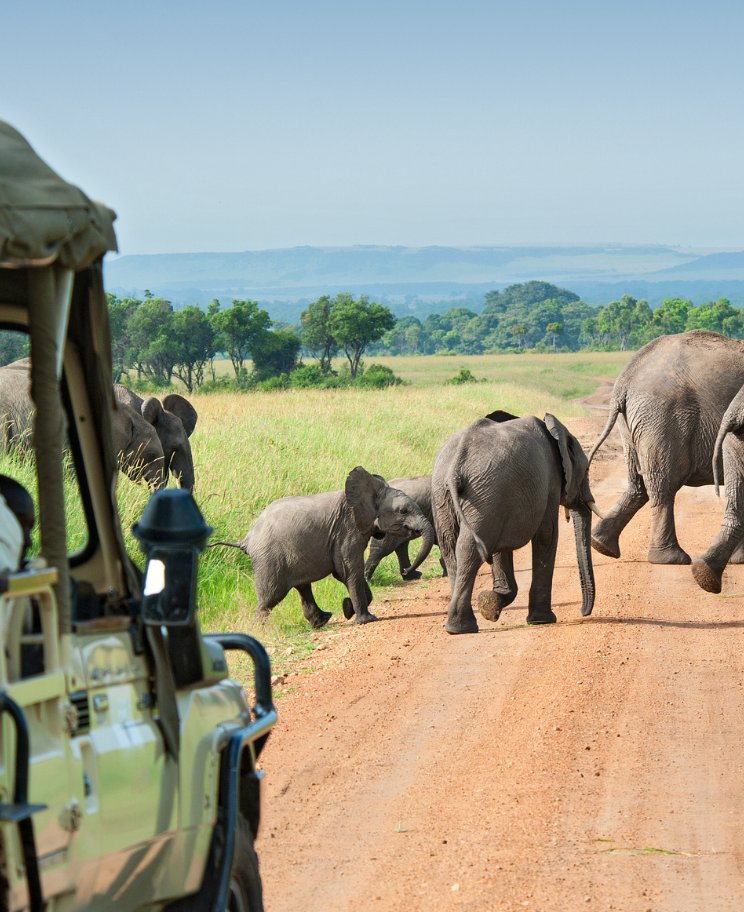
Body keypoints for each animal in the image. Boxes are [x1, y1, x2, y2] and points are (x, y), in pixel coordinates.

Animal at [213, 466, 436, 629]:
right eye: (403, 511)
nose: (407, 572)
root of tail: (247, 538)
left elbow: (345, 573)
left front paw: (347, 608)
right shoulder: (347, 530)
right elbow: (349, 571)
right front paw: (366, 620)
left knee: (303, 587)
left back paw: (322, 621)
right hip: (269, 558)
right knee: (270, 597)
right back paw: (259, 630)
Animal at [432, 410, 598, 635]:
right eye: (587, 470)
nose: (583, 612)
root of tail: (456, 464)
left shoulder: (503, 500)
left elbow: (501, 549)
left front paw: (490, 604)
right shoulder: (550, 483)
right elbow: (547, 536)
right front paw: (541, 620)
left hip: (451, 495)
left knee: (451, 548)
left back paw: (459, 626)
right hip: (481, 494)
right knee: (470, 549)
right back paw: (462, 627)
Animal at [588, 330, 744, 565]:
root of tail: (625, 379)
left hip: (634, 422)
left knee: (638, 483)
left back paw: (601, 544)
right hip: (664, 417)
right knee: (663, 482)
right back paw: (671, 558)